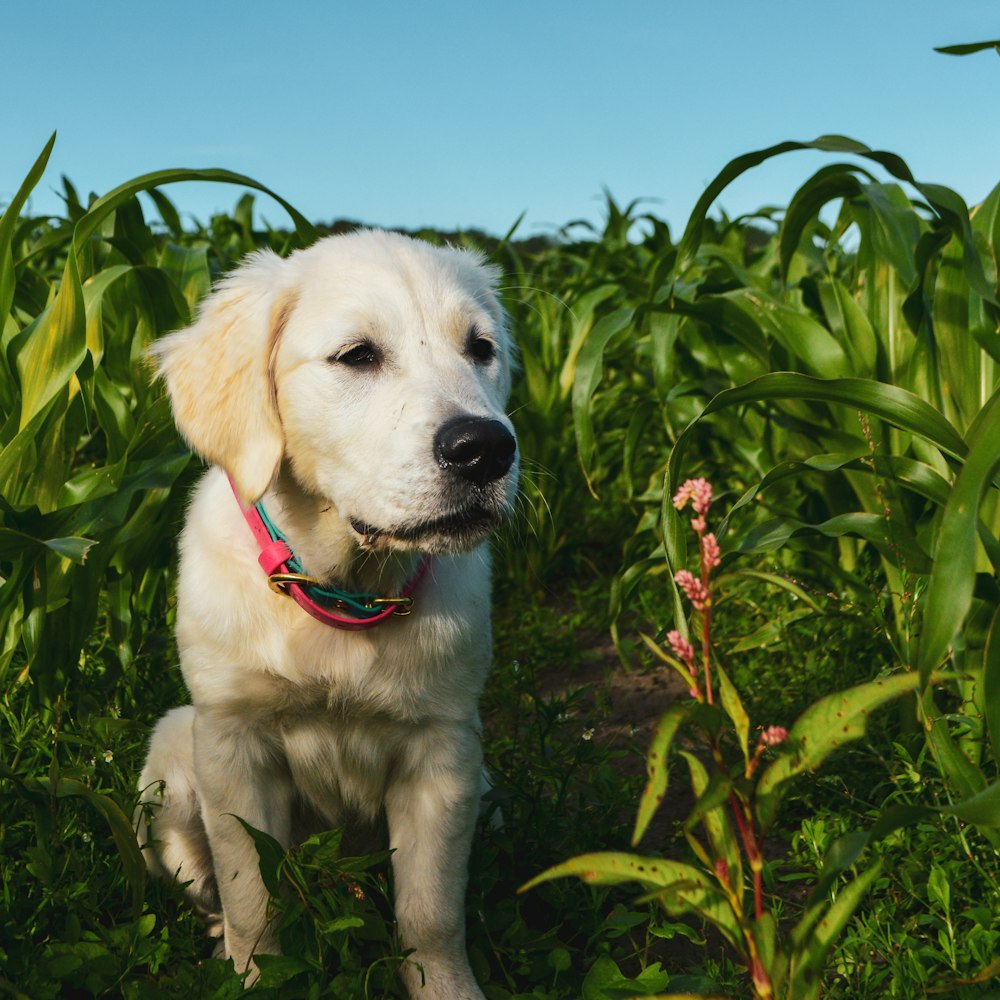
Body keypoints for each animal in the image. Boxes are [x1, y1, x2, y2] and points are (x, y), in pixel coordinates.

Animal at [137, 229, 520, 1000]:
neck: (348, 589)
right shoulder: (234, 747)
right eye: (358, 355)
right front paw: (254, 977)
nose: (487, 449)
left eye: (481, 348)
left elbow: (431, 912)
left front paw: (444, 987)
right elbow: (251, 895)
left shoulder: (445, 755)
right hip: (169, 764)